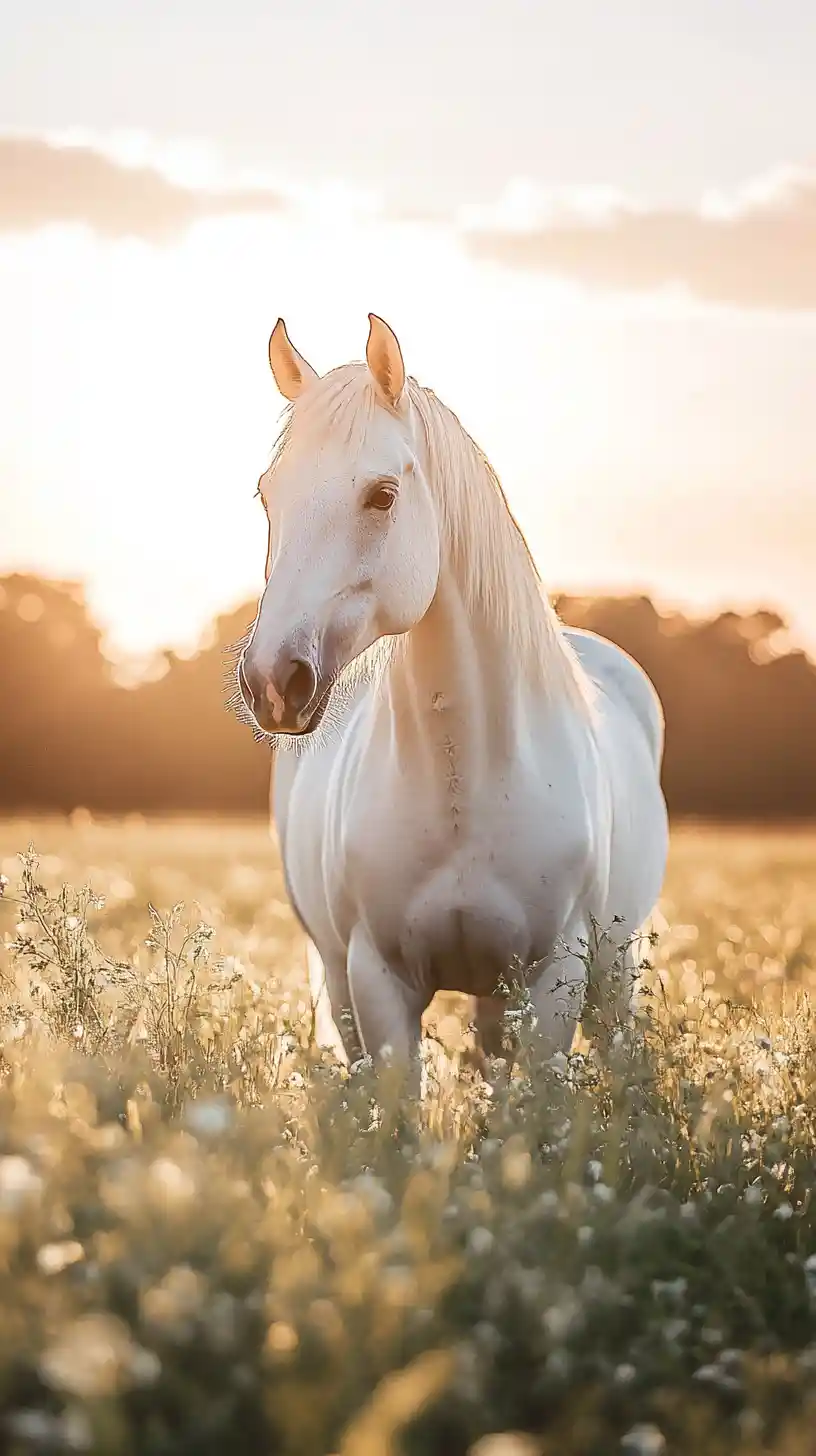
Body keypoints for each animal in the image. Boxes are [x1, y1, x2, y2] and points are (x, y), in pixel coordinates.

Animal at [237, 314, 669, 1067]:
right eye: (268, 494)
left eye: (382, 495)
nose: (272, 681)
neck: (468, 777)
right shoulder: (376, 981)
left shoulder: (552, 981)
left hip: (609, 973)